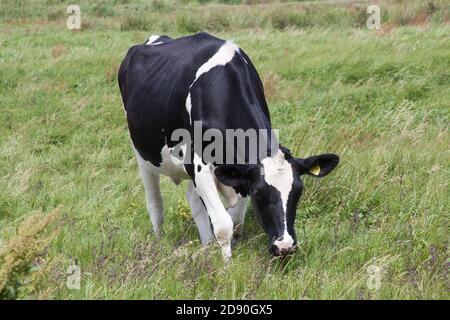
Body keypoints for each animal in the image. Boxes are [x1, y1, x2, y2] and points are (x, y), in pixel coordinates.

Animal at [118, 31, 340, 258]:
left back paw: (206, 244)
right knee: (155, 202)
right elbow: (224, 225)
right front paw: (226, 264)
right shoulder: (199, 166)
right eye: (258, 194)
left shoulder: (240, 171)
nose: (285, 246)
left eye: (298, 191)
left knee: (194, 201)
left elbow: (235, 220)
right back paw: (158, 240)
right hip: (142, 154)